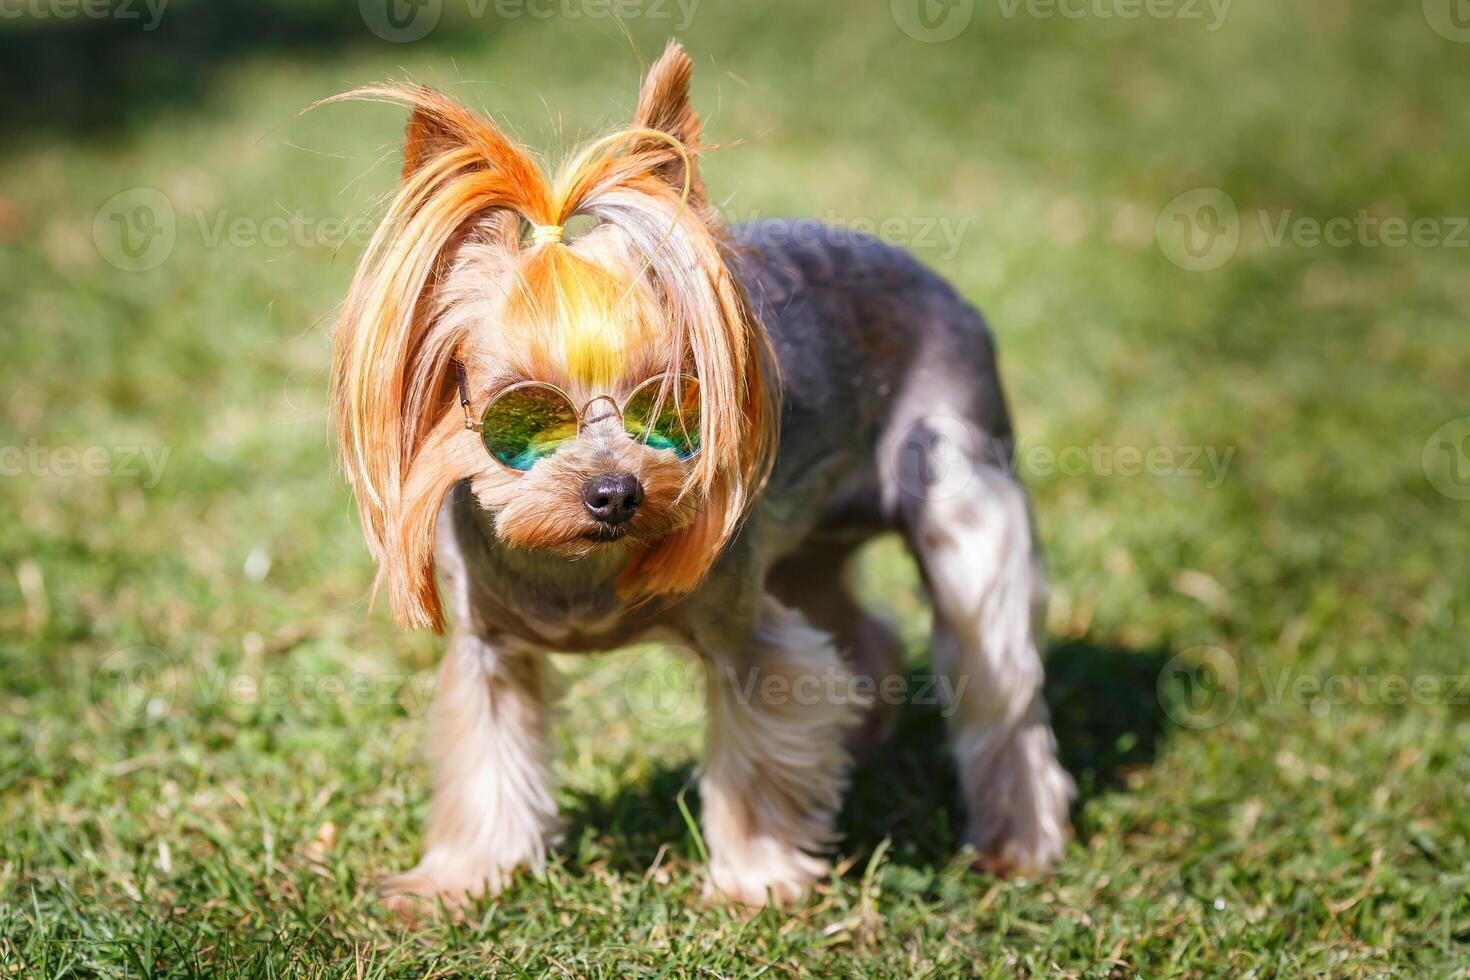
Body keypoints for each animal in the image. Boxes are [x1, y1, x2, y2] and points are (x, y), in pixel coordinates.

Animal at [330, 42, 1070, 910]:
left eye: (667, 399)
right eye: (526, 411)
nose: (616, 493)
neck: (576, 563)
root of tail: (940, 282)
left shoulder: (743, 634)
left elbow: (757, 749)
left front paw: (755, 881)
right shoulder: (487, 650)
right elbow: (486, 760)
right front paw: (455, 882)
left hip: (963, 497)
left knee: (997, 680)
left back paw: (1016, 842)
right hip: (808, 545)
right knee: (859, 631)